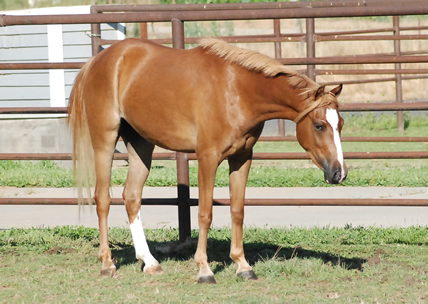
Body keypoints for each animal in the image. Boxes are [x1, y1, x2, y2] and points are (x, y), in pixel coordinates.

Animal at [67, 37, 348, 282]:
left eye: (341, 124)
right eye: (320, 125)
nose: (339, 173)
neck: (237, 90)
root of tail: (97, 61)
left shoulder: (242, 157)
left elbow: (237, 210)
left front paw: (242, 265)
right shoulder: (208, 158)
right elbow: (205, 213)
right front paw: (204, 269)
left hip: (140, 143)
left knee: (132, 196)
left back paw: (149, 262)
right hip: (105, 141)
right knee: (103, 199)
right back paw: (107, 264)